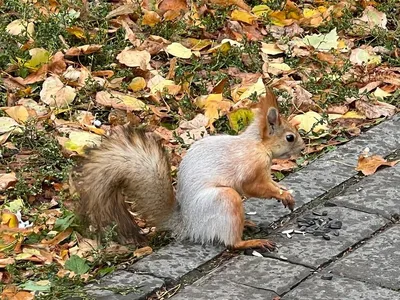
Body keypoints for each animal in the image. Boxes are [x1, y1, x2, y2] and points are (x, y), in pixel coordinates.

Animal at [72, 88, 304, 250]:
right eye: (289, 137)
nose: (303, 147)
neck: (258, 144)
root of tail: (190, 226)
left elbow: (270, 182)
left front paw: (285, 192)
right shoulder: (251, 167)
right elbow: (254, 187)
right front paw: (281, 194)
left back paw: (246, 224)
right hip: (225, 199)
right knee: (231, 242)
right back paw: (250, 242)